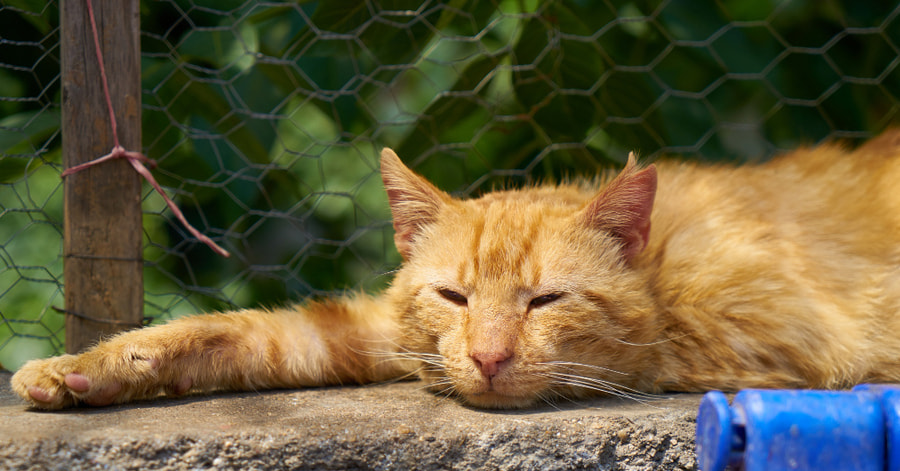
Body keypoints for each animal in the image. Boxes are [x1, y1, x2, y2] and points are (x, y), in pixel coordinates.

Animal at [8, 130, 900, 410]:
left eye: (546, 299)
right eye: (453, 295)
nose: (489, 356)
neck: (662, 271)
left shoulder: (787, 342)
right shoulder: (380, 331)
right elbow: (243, 333)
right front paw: (85, 367)